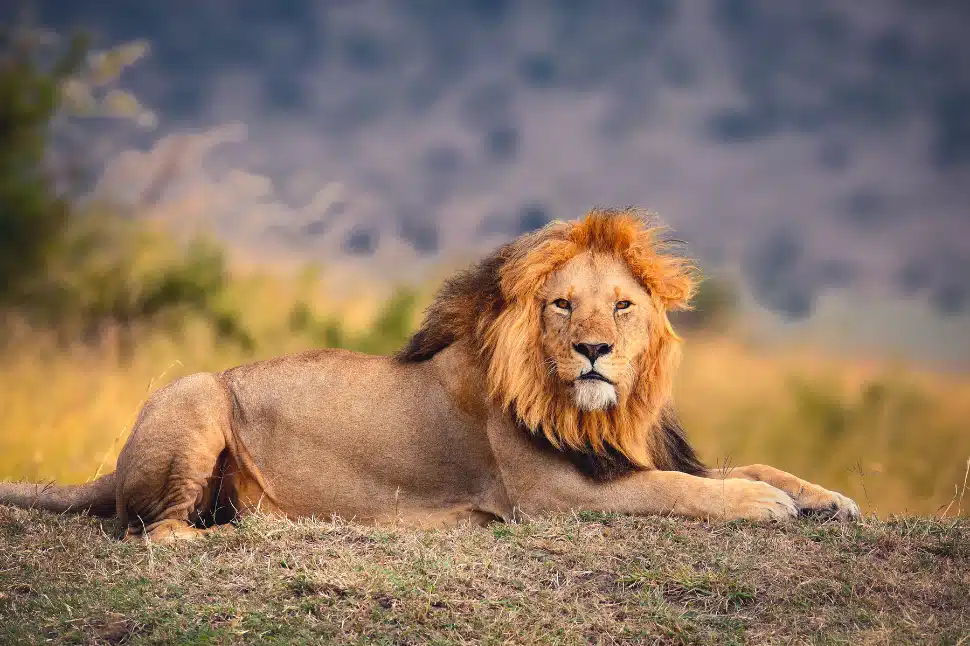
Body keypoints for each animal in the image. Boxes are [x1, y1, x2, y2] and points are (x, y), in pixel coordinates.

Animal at [0, 209, 859, 542]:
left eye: (621, 306)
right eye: (561, 305)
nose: (593, 352)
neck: (600, 413)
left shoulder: (629, 454)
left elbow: (750, 464)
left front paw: (828, 497)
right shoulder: (555, 496)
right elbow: (683, 489)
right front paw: (762, 505)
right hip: (197, 391)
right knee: (151, 527)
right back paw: (234, 529)